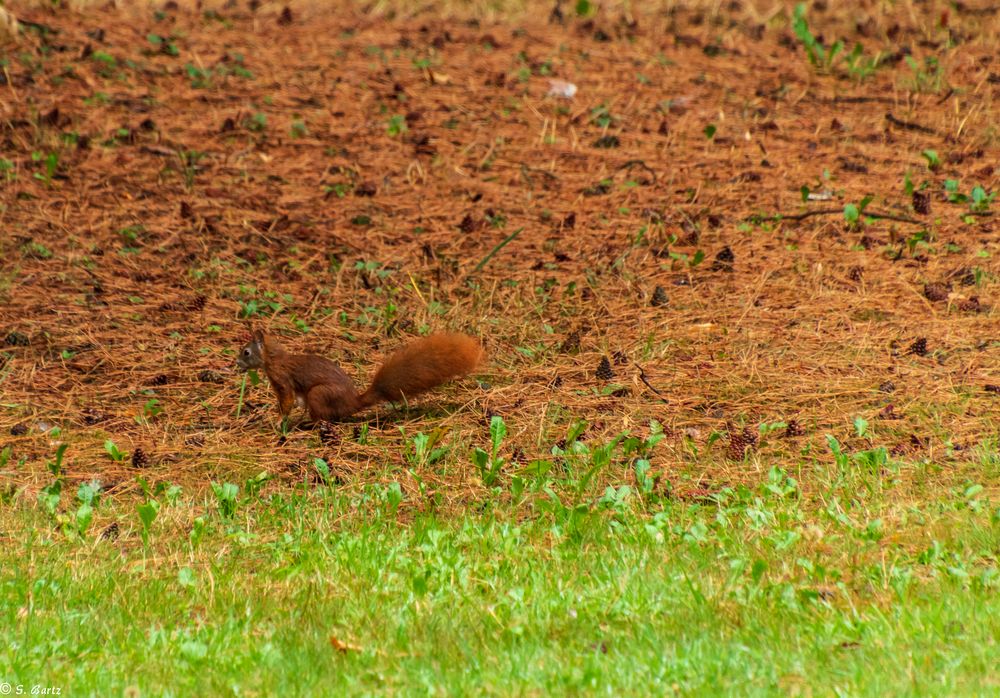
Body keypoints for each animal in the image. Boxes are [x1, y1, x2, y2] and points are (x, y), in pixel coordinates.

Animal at [235, 330, 484, 422]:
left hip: (318, 394)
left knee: (324, 418)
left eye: (246, 352)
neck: (273, 359)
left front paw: (279, 421)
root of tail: (352, 403)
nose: (236, 364)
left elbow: (286, 401)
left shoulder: (282, 380)